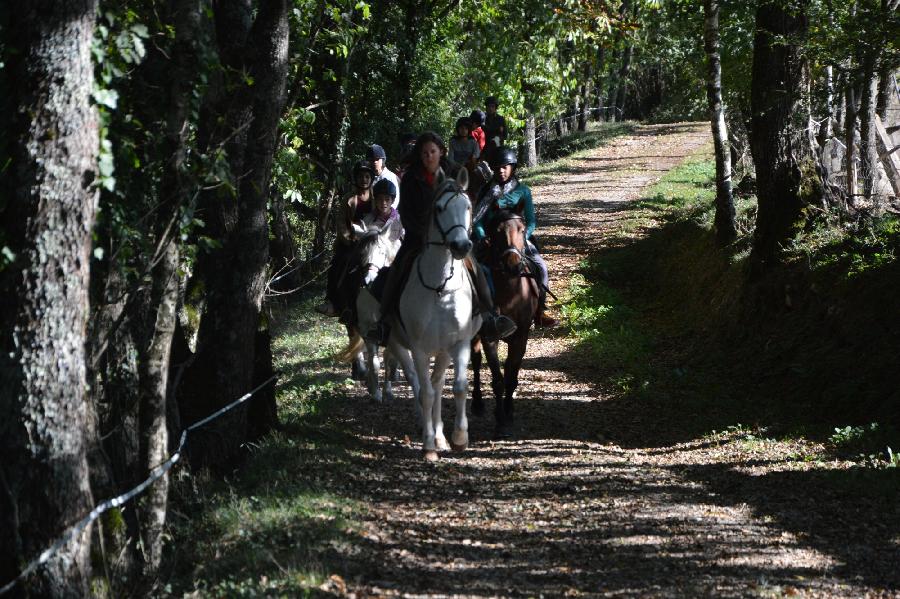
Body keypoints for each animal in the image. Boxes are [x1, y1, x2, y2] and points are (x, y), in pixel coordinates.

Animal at [472, 209, 540, 438]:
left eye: (522, 228)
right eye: (497, 230)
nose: (512, 263)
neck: (510, 293)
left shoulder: (521, 336)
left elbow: (511, 375)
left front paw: (508, 413)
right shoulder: (489, 337)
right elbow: (499, 379)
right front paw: (500, 422)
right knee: (475, 362)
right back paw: (477, 403)